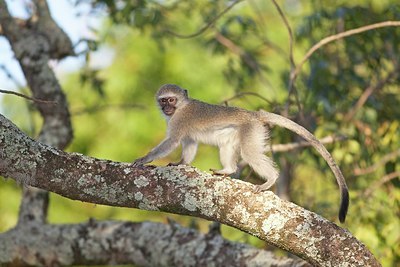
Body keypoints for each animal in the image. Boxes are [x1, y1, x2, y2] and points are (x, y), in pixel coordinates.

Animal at [133, 84, 348, 224]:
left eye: (171, 100)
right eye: (163, 101)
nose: (166, 108)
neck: (181, 107)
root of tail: (254, 114)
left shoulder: (179, 121)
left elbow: (172, 142)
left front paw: (144, 159)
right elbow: (189, 144)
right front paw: (180, 163)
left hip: (251, 131)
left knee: (250, 154)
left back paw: (271, 179)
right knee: (227, 145)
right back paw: (228, 170)